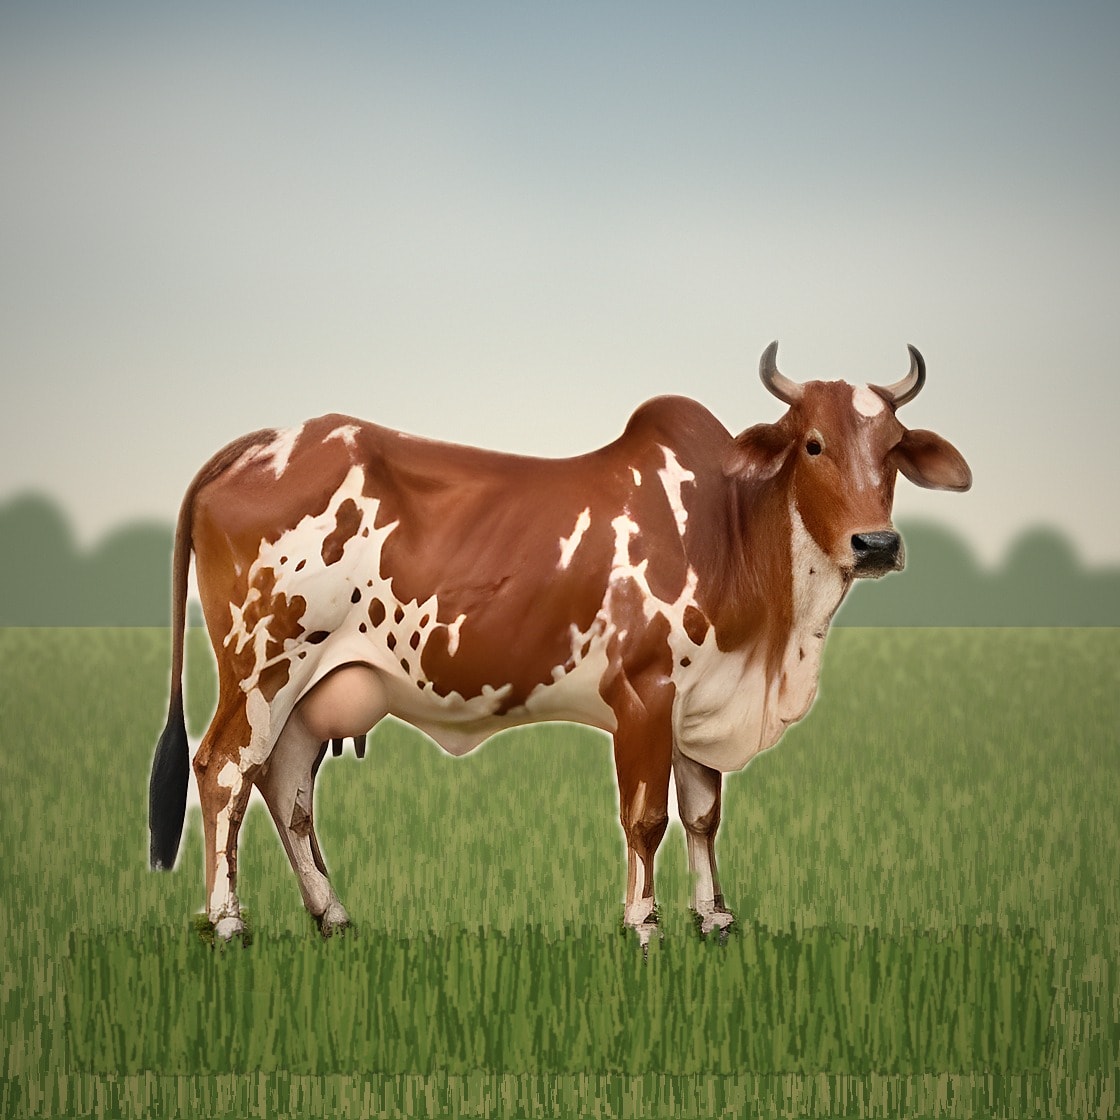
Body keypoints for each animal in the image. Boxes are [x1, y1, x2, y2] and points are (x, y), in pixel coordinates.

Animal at [149, 343, 971, 945]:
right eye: (812, 444)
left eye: (895, 448)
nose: (876, 543)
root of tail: (264, 440)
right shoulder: (644, 694)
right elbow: (647, 818)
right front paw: (644, 927)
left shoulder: (700, 701)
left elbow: (703, 814)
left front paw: (715, 920)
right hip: (263, 666)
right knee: (224, 770)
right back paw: (227, 923)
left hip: (308, 687)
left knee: (285, 784)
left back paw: (332, 915)